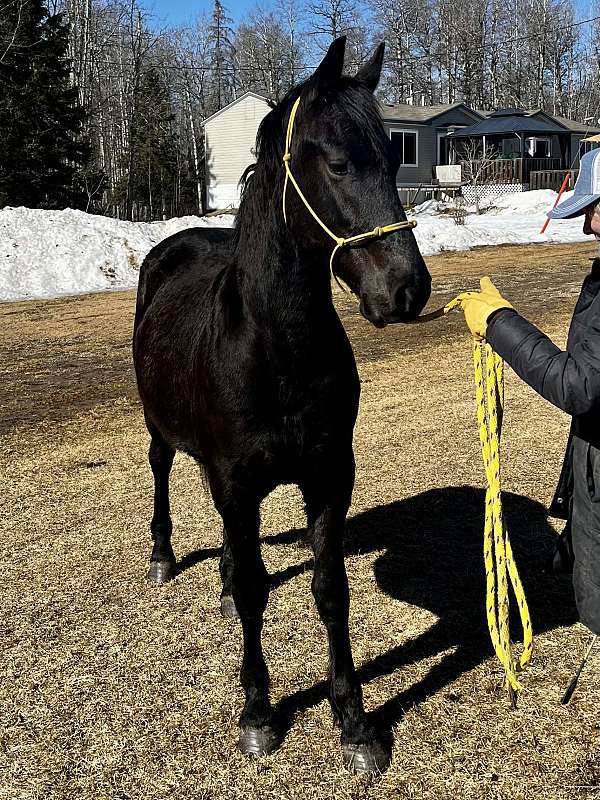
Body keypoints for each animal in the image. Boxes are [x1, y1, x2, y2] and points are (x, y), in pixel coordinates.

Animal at [132, 39, 432, 776]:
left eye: (394, 157)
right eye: (337, 160)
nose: (407, 290)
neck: (277, 351)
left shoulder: (328, 478)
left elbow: (329, 589)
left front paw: (354, 721)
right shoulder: (237, 484)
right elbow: (257, 591)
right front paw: (259, 714)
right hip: (161, 431)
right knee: (161, 472)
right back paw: (164, 556)